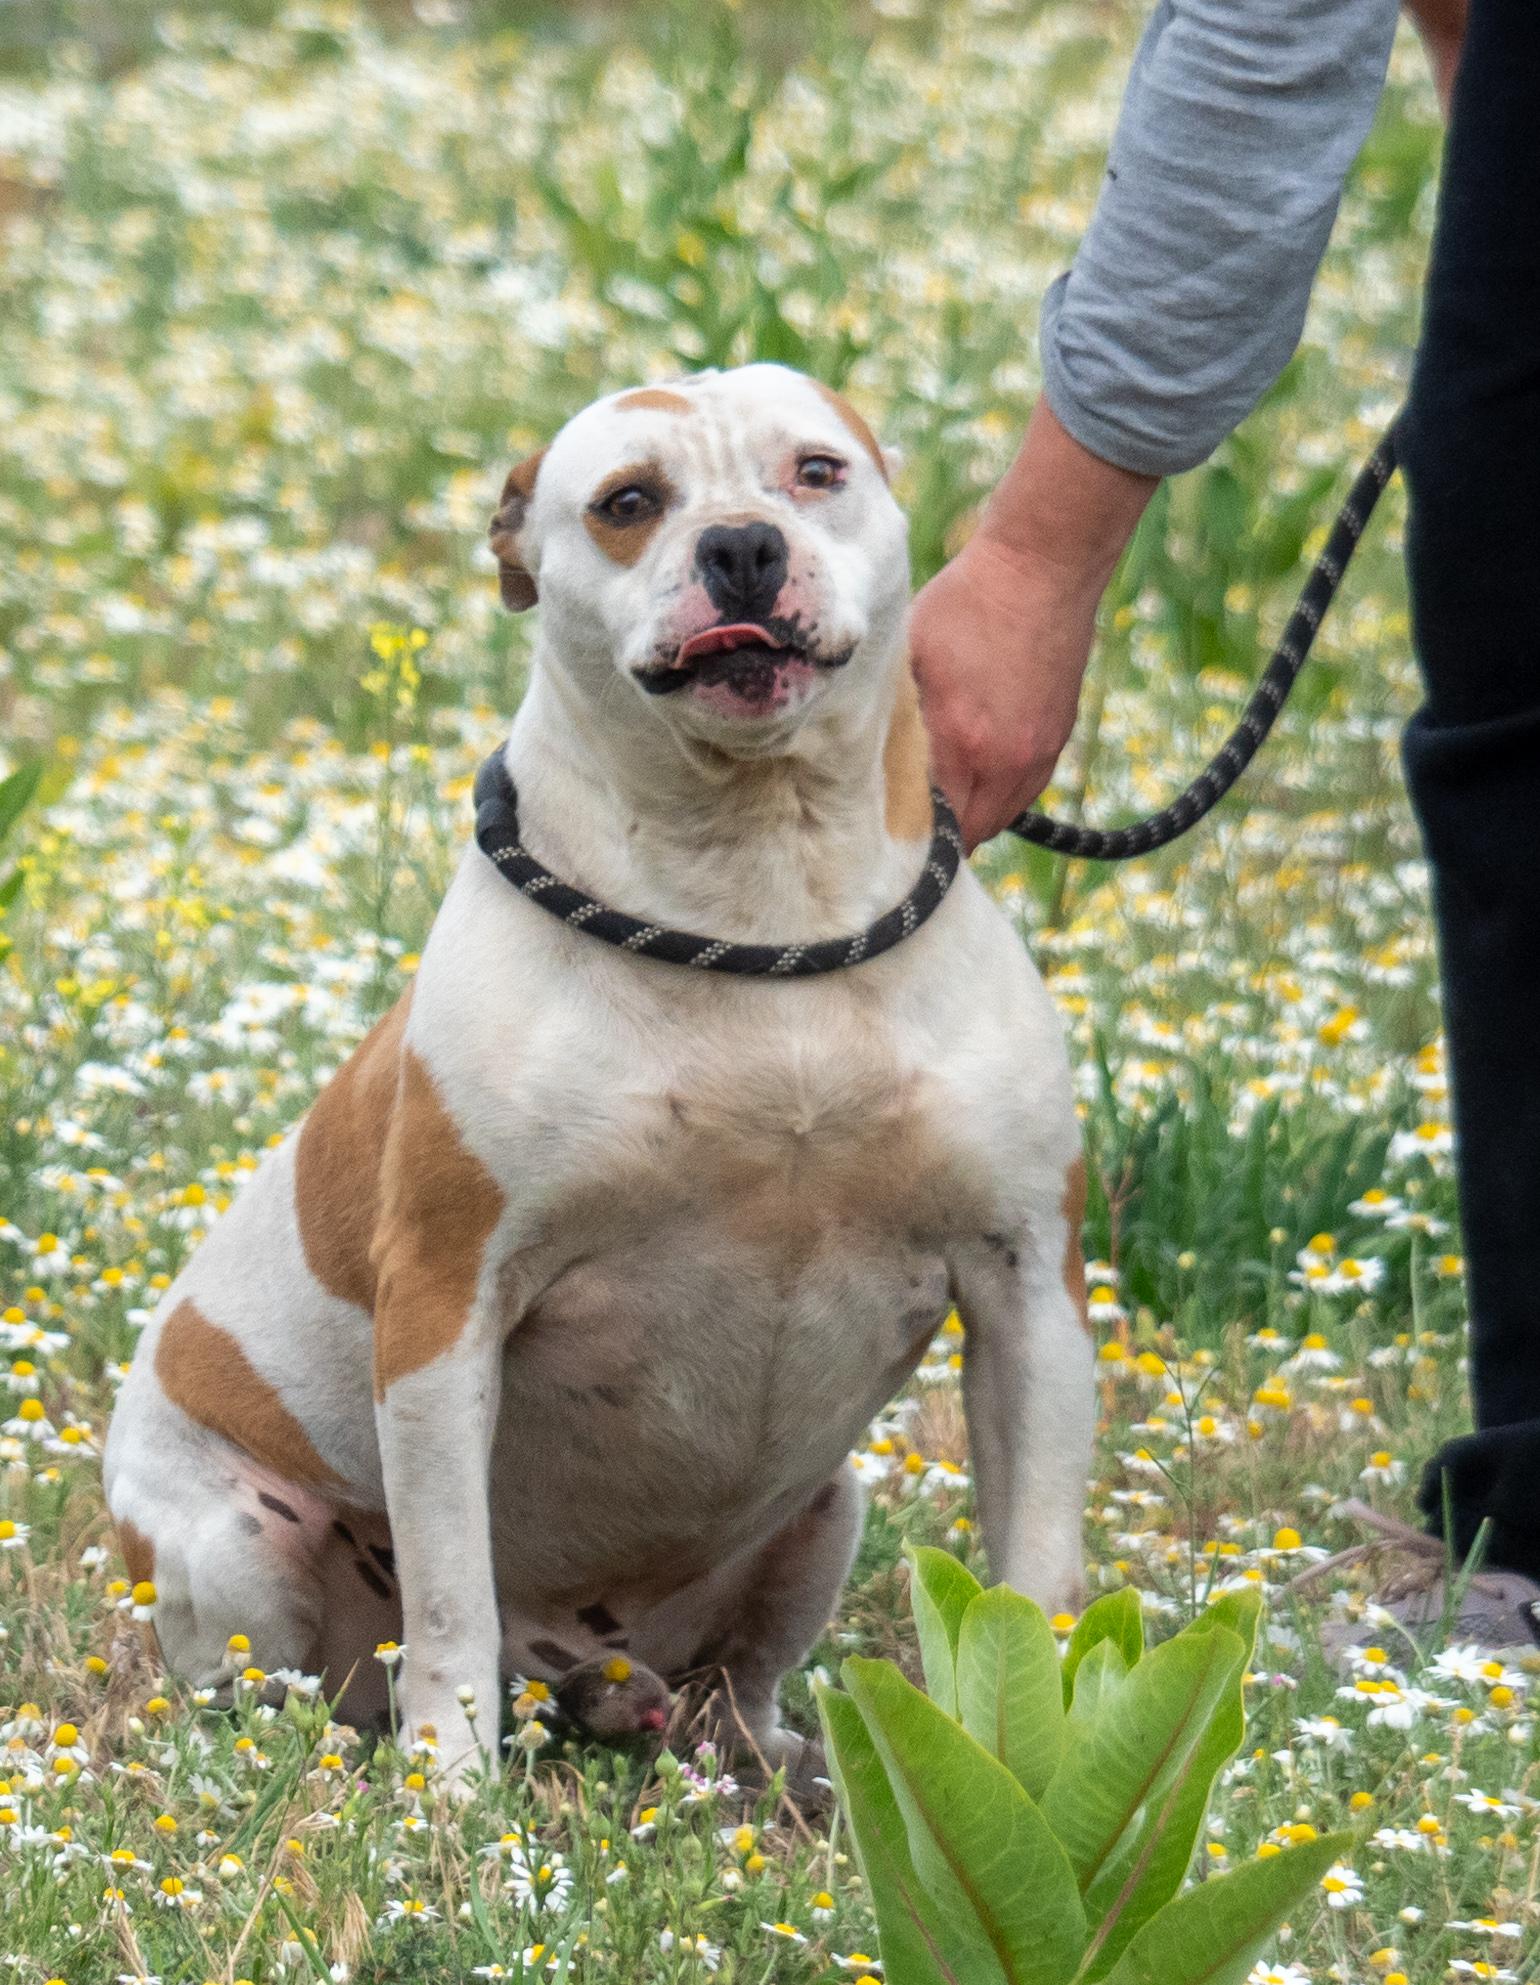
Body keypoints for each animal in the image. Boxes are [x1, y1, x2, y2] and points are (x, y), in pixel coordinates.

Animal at [104, 362, 1094, 1791]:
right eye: (628, 502)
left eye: (816, 471)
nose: (741, 546)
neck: (759, 887)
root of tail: (571, 1661)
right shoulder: (445, 1311)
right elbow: (449, 1591)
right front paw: (450, 1788)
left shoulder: (1029, 1296)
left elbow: (1039, 1570)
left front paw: (1037, 1761)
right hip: (234, 1544)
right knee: (304, 1680)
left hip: (822, 1509)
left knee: (736, 1677)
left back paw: (754, 1753)